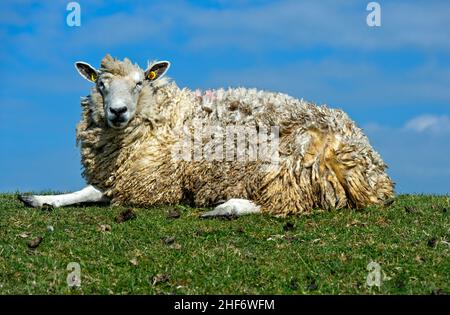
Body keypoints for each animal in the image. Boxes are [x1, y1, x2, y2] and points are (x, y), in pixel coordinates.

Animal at [19, 55, 394, 217]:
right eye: (100, 84)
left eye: (140, 82)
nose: (117, 111)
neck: (166, 112)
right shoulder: (125, 176)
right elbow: (90, 190)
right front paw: (41, 199)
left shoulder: (153, 184)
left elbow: (98, 193)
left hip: (287, 168)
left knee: (285, 204)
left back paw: (226, 207)